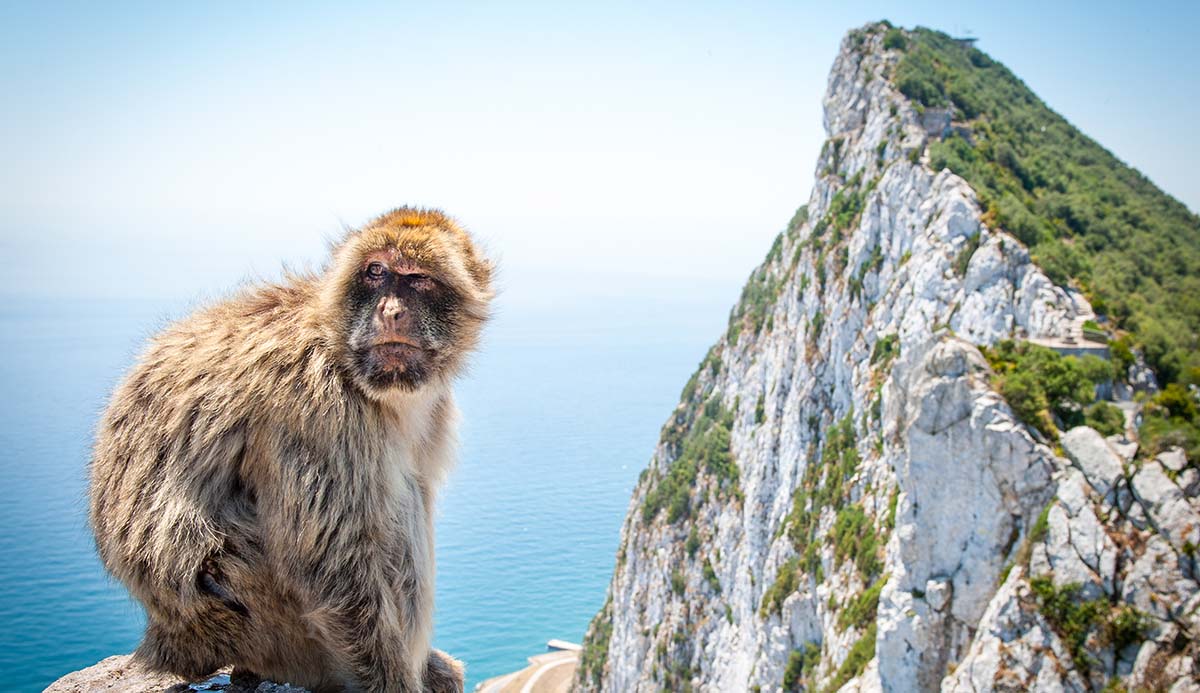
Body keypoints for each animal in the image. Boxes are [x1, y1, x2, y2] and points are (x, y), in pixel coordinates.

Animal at [87, 208, 493, 693]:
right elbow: (332, 569)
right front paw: (393, 683)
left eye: (417, 280)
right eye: (376, 272)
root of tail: (168, 641)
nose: (391, 312)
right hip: (261, 621)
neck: (339, 349)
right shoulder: (315, 405)